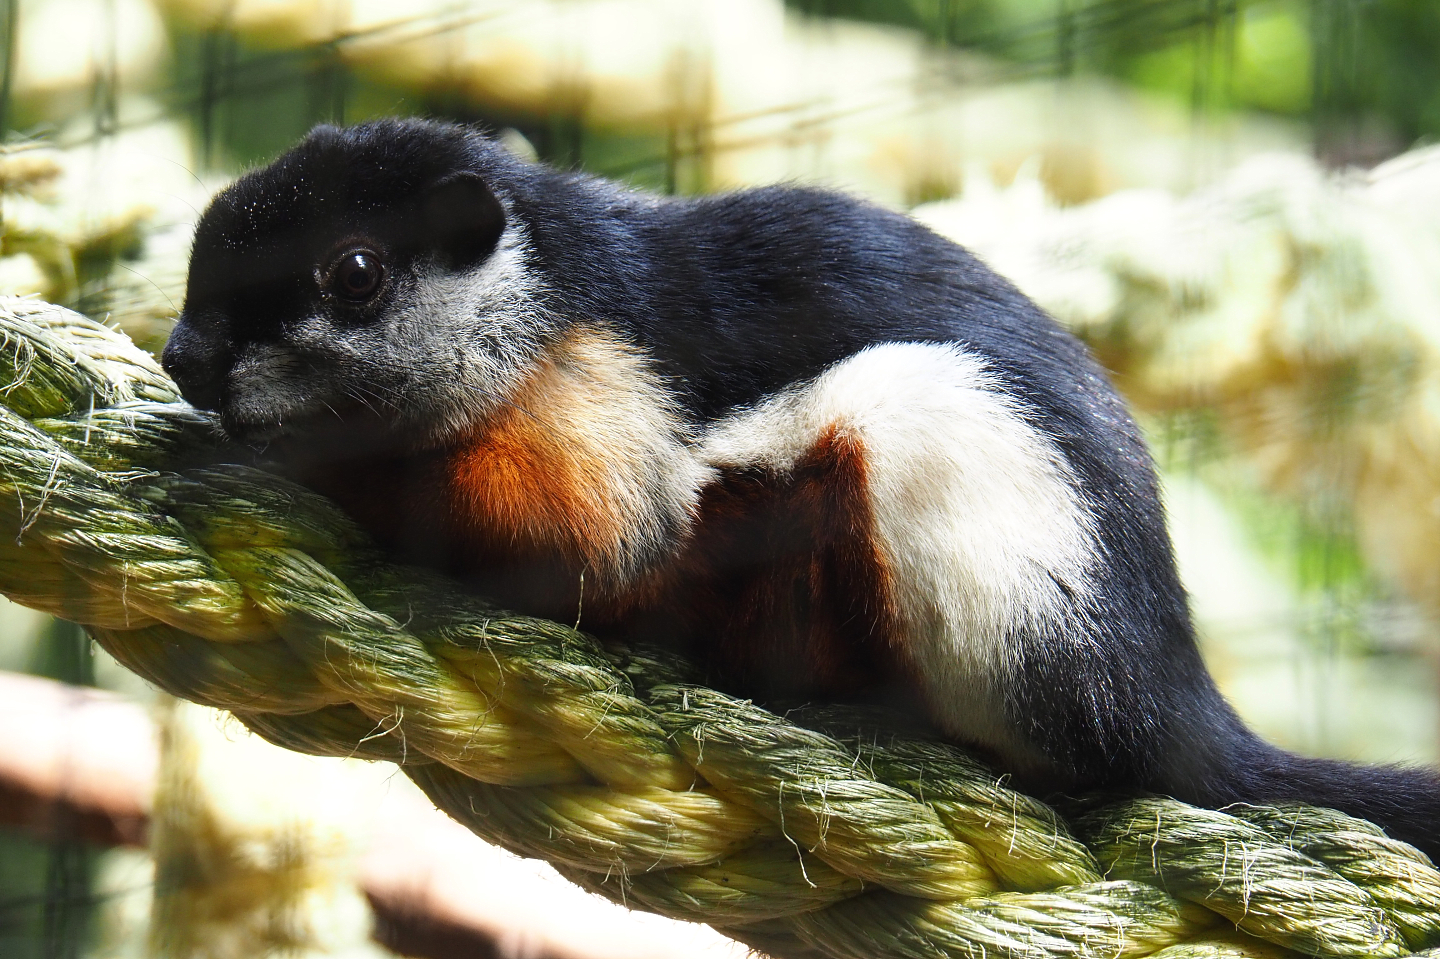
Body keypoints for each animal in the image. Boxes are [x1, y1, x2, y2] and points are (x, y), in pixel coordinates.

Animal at [162, 118, 1440, 857]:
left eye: (356, 274)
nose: (183, 353)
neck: (538, 302)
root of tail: (1173, 702)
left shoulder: (607, 427)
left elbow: (586, 540)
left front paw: (291, 459)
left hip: (938, 470)